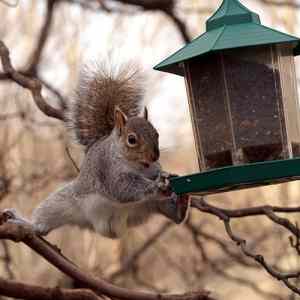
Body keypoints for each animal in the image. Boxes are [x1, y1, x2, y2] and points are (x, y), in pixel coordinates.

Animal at [3, 61, 189, 239]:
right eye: (131, 140)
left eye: (156, 134)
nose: (155, 156)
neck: (136, 164)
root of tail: (107, 228)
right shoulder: (107, 169)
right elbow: (122, 187)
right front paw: (156, 185)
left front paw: (166, 175)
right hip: (63, 202)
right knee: (42, 225)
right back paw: (23, 222)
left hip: (153, 204)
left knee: (175, 217)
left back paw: (182, 203)